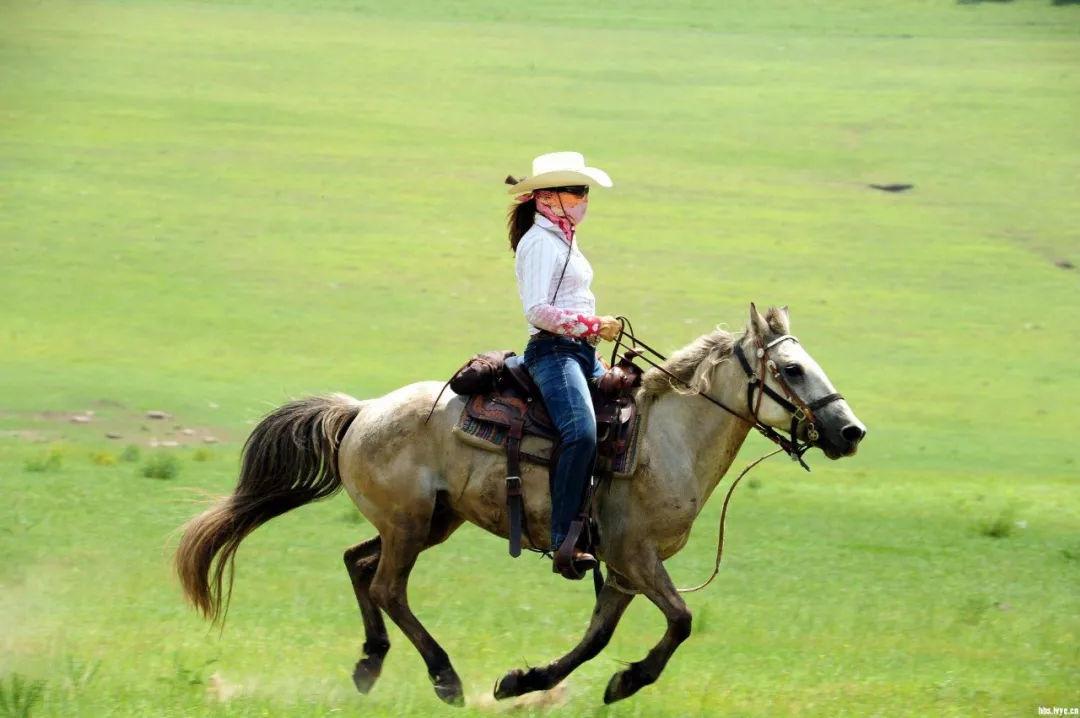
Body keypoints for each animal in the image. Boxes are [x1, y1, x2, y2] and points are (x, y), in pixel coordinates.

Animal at [177, 304, 868, 703]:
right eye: (794, 371)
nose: (851, 432)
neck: (666, 439)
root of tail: (362, 411)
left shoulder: (621, 569)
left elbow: (595, 639)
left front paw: (527, 681)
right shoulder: (635, 557)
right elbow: (680, 621)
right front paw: (626, 682)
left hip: (434, 521)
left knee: (358, 563)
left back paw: (371, 664)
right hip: (409, 525)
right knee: (387, 586)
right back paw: (444, 677)